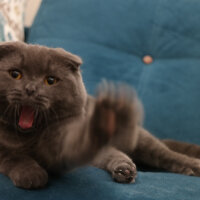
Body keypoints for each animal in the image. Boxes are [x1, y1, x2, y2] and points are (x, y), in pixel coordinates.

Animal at [0, 41, 200, 189]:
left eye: (50, 80)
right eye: (15, 74)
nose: (30, 89)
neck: (30, 137)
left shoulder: (63, 144)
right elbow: (13, 157)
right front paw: (31, 175)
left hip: (143, 141)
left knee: (165, 153)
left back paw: (192, 166)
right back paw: (124, 170)